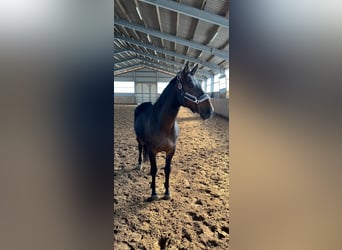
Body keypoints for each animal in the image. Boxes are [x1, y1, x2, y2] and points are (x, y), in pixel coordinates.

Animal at [134, 62, 214, 201]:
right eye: (190, 85)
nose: (210, 110)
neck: (162, 125)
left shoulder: (171, 150)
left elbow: (167, 170)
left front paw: (167, 192)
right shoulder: (152, 151)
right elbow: (154, 170)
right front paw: (154, 193)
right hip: (139, 139)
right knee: (140, 149)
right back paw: (140, 165)